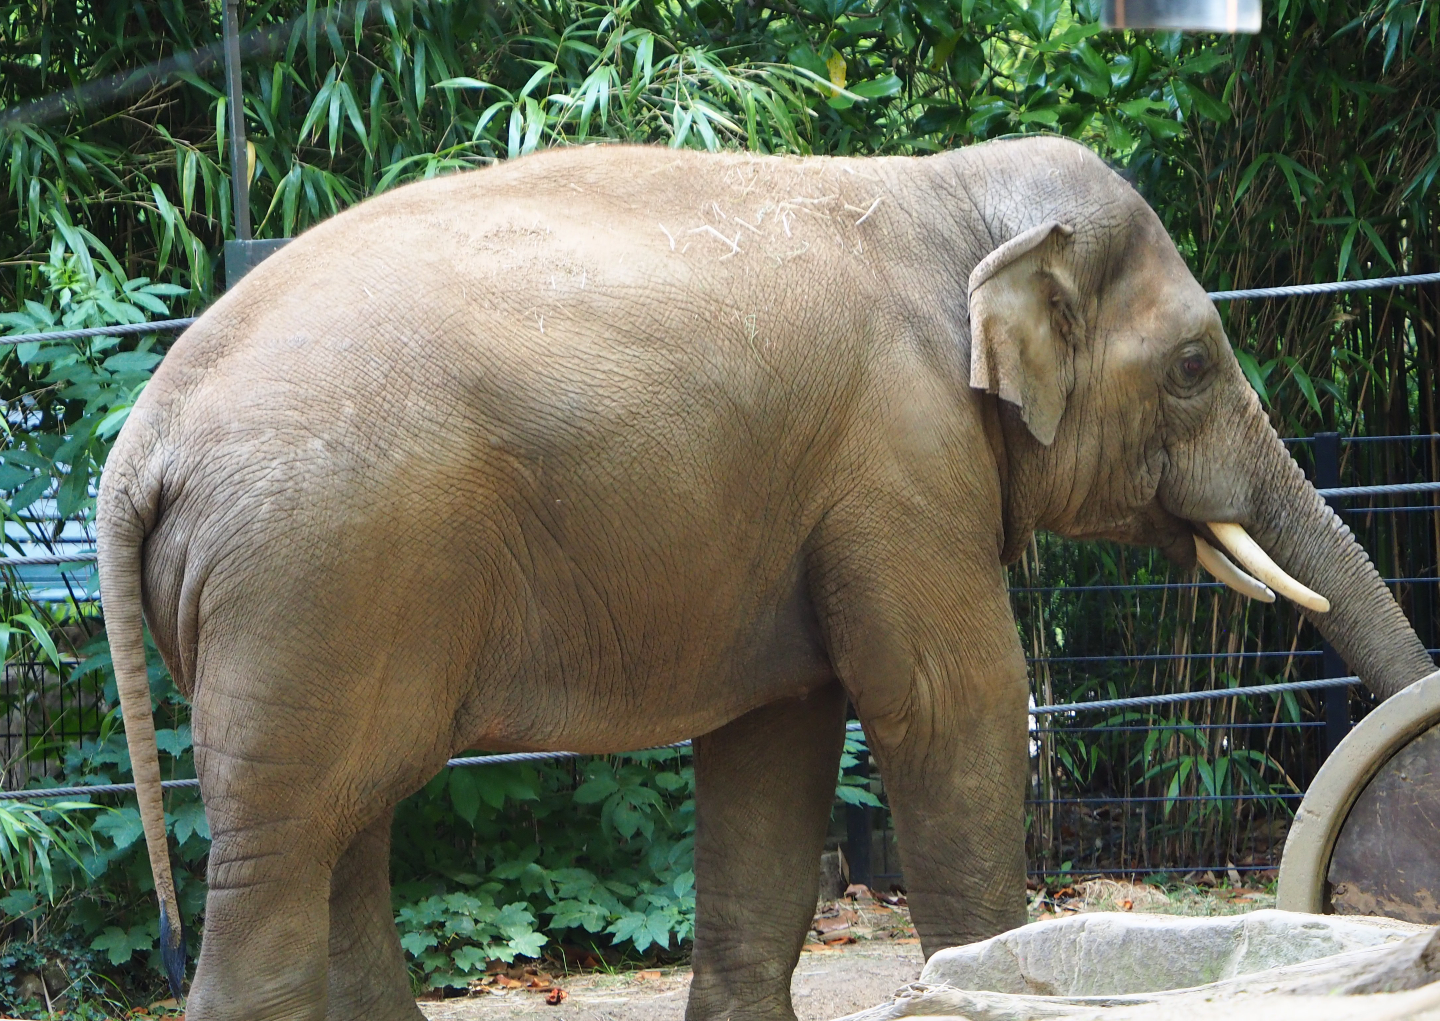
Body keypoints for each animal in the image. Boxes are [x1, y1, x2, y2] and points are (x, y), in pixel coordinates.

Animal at [96, 135, 1436, 1021]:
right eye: (1197, 366)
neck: (951, 188)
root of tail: (140, 437)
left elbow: (775, 747)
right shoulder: (901, 453)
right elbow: (953, 706)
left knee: (348, 834)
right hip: (313, 579)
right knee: (285, 858)